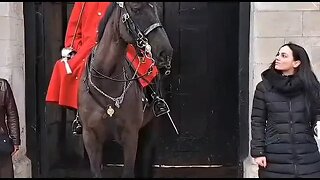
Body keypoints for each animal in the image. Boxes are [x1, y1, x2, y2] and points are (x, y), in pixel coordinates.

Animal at [78, 2, 172, 178]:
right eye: (136, 9)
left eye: (156, 9)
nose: (165, 52)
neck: (106, 78)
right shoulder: (90, 137)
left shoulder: (131, 135)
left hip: (150, 127)